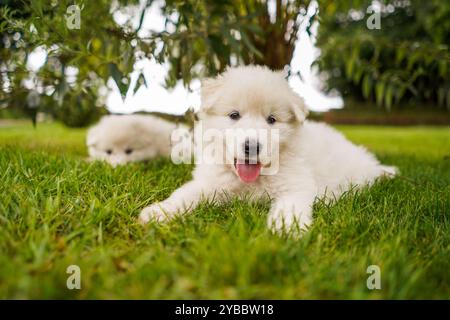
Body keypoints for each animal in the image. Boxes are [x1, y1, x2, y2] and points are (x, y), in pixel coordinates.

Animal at [138, 66, 398, 234]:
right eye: (234, 115)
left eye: (272, 119)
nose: (251, 146)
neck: (254, 179)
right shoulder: (210, 183)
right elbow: (185, 194)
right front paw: (159, 212)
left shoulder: (295, 185)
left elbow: (290, 207)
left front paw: (285, 229)